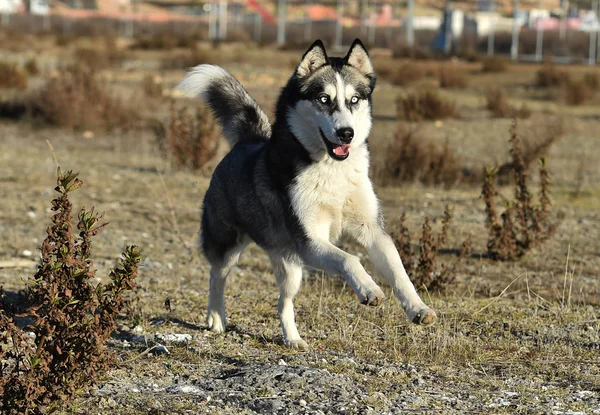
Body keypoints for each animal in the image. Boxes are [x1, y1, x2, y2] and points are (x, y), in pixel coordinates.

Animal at [178, 39, 436, 352]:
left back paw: (292, 338)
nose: (347, 133)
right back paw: (216, 318)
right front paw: (369, 288)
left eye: (354, 100)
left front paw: (418, 308)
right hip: (229, 244)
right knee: (217, 275)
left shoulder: (372, 230)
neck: (331, 170)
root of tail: (248, 141)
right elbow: (350, 259)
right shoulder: (311, 242)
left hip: (291, 266)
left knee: (283, 301)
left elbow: (399, 270)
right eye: (323, 99)